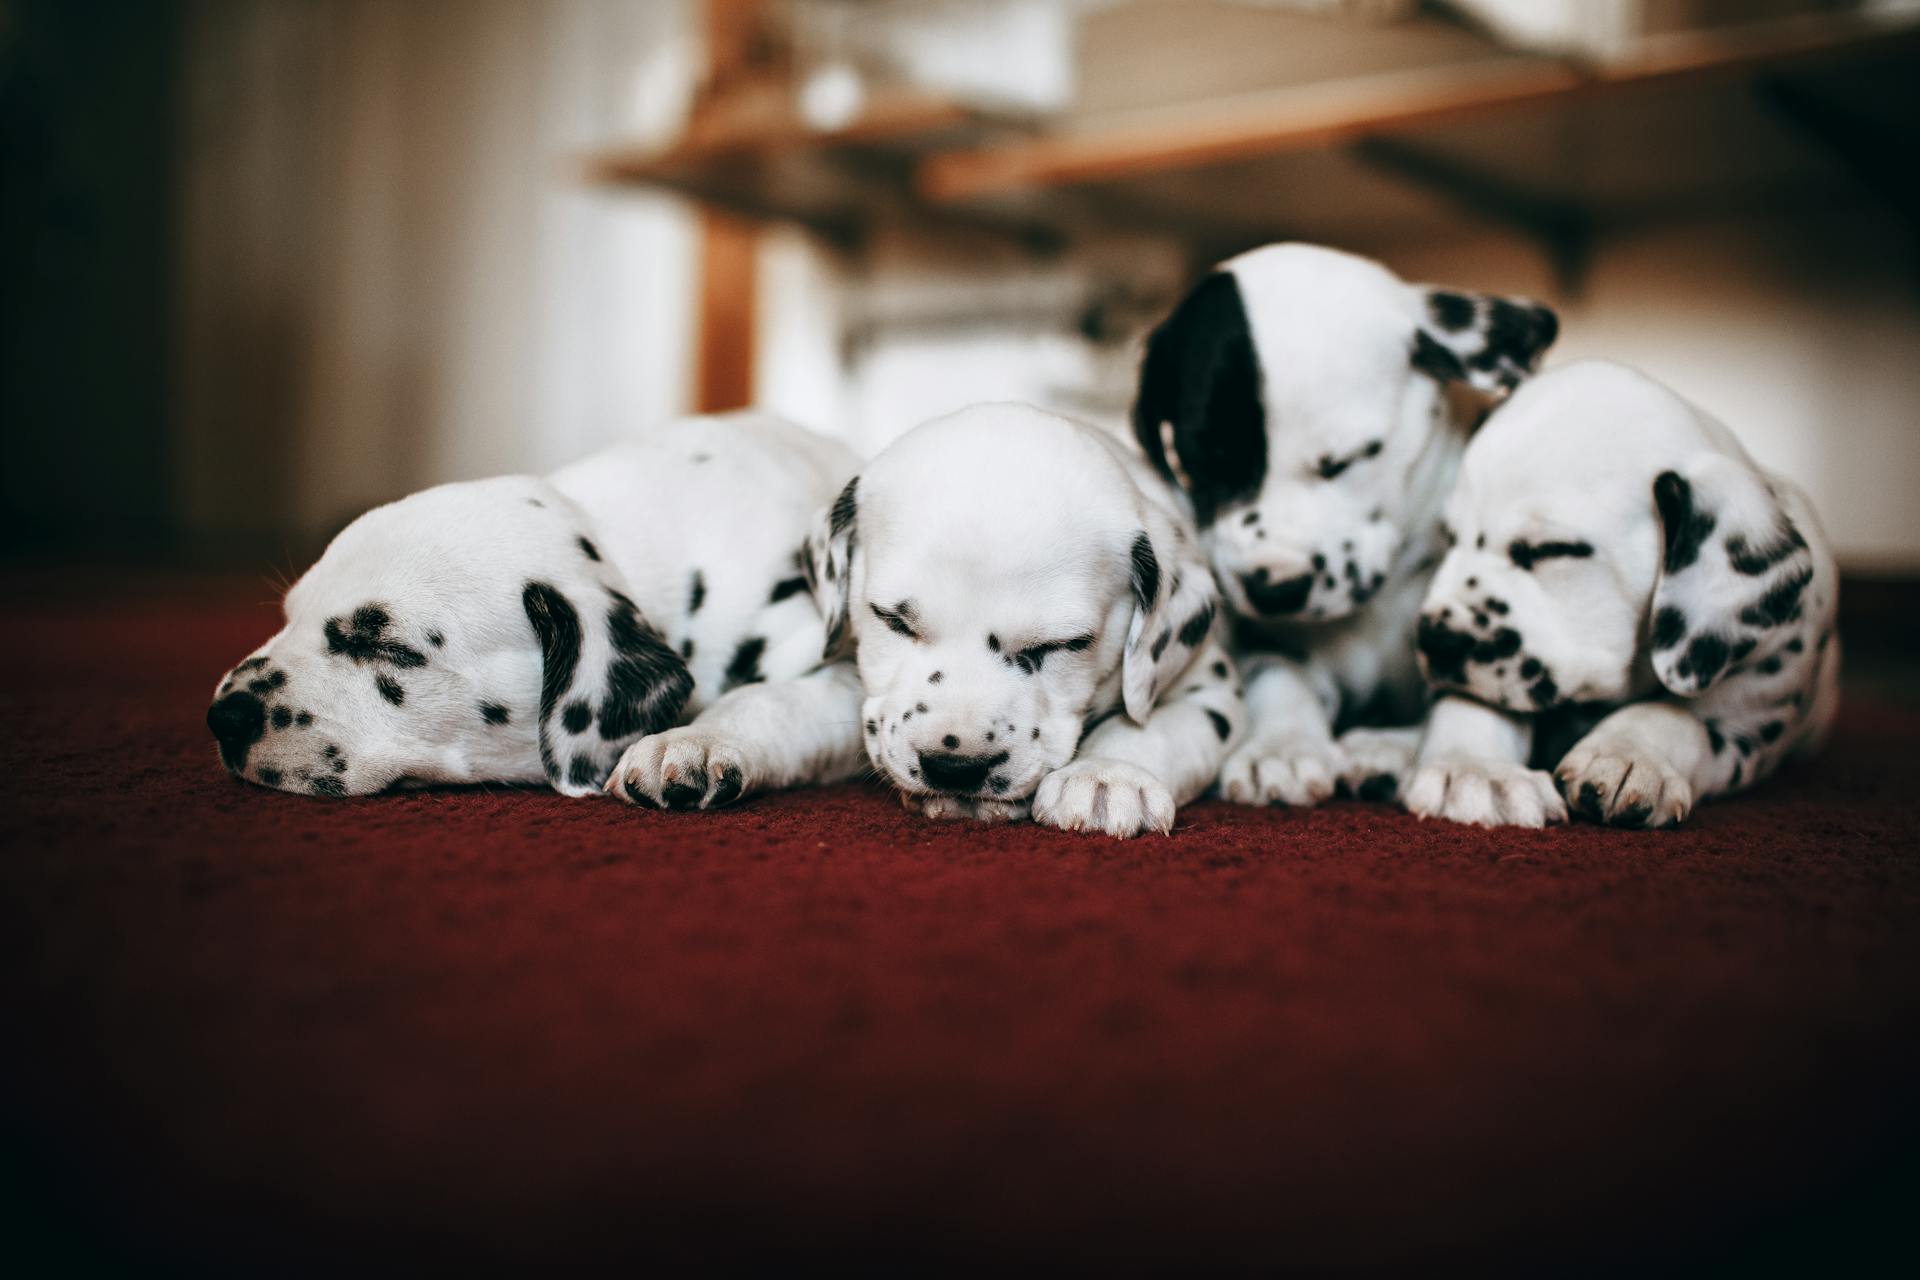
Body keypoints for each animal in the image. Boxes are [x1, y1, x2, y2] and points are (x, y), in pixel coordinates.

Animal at [806, 402, 1244, 840]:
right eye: (894, 621)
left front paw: (1106, 775)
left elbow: (1149, 728)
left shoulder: (1213, 691)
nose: (954, 767)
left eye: (1060, 644)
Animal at [1136, 239, 1559, 809]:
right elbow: (1279, 674)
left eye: (1345, 461)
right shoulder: (1264, 638)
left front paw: (1472, 765)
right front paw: (1283, 746)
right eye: (1203, 464)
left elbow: (1471, 686)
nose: (1274, 590)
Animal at [1413, 360, 1843, 832]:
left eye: (1551, 549)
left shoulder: (1755, 714)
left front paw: (1627, 755)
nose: (1433, 640)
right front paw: (1478, 770)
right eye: (1448, 538)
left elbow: (1678, 717)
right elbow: (1469, 705)